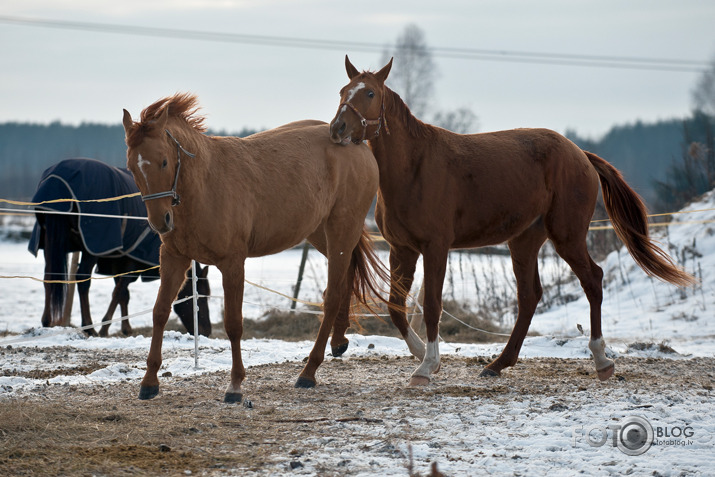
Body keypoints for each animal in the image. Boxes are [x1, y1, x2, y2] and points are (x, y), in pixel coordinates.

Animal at [121, 93, 386, 402]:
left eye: (164, 162)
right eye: (132, 167)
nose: (160, 222)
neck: (205, 184)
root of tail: (356, 143)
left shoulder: (233, 263)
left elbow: (234, 324)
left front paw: (235, 385)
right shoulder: (175, 258)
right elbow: (160, 312)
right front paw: (149, 381)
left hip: (342, 230)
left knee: (331, 295)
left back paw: (308, 372)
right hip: (321, 234)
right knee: (344, 281)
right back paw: (339, 341)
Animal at [328, 55, 692, 384]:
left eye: (370, 93)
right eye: (343, 91)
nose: (337, 129)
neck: (415, 167)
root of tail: (581, 155)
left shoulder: (436, 248)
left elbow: (431, 305)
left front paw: (427, 366)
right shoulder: (402, 249)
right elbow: (395, 307)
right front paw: (422, 355)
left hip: (567, 236)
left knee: (593, 280)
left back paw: (602, 361)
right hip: (524, 241)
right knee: (529, 296)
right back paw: (498, 364)